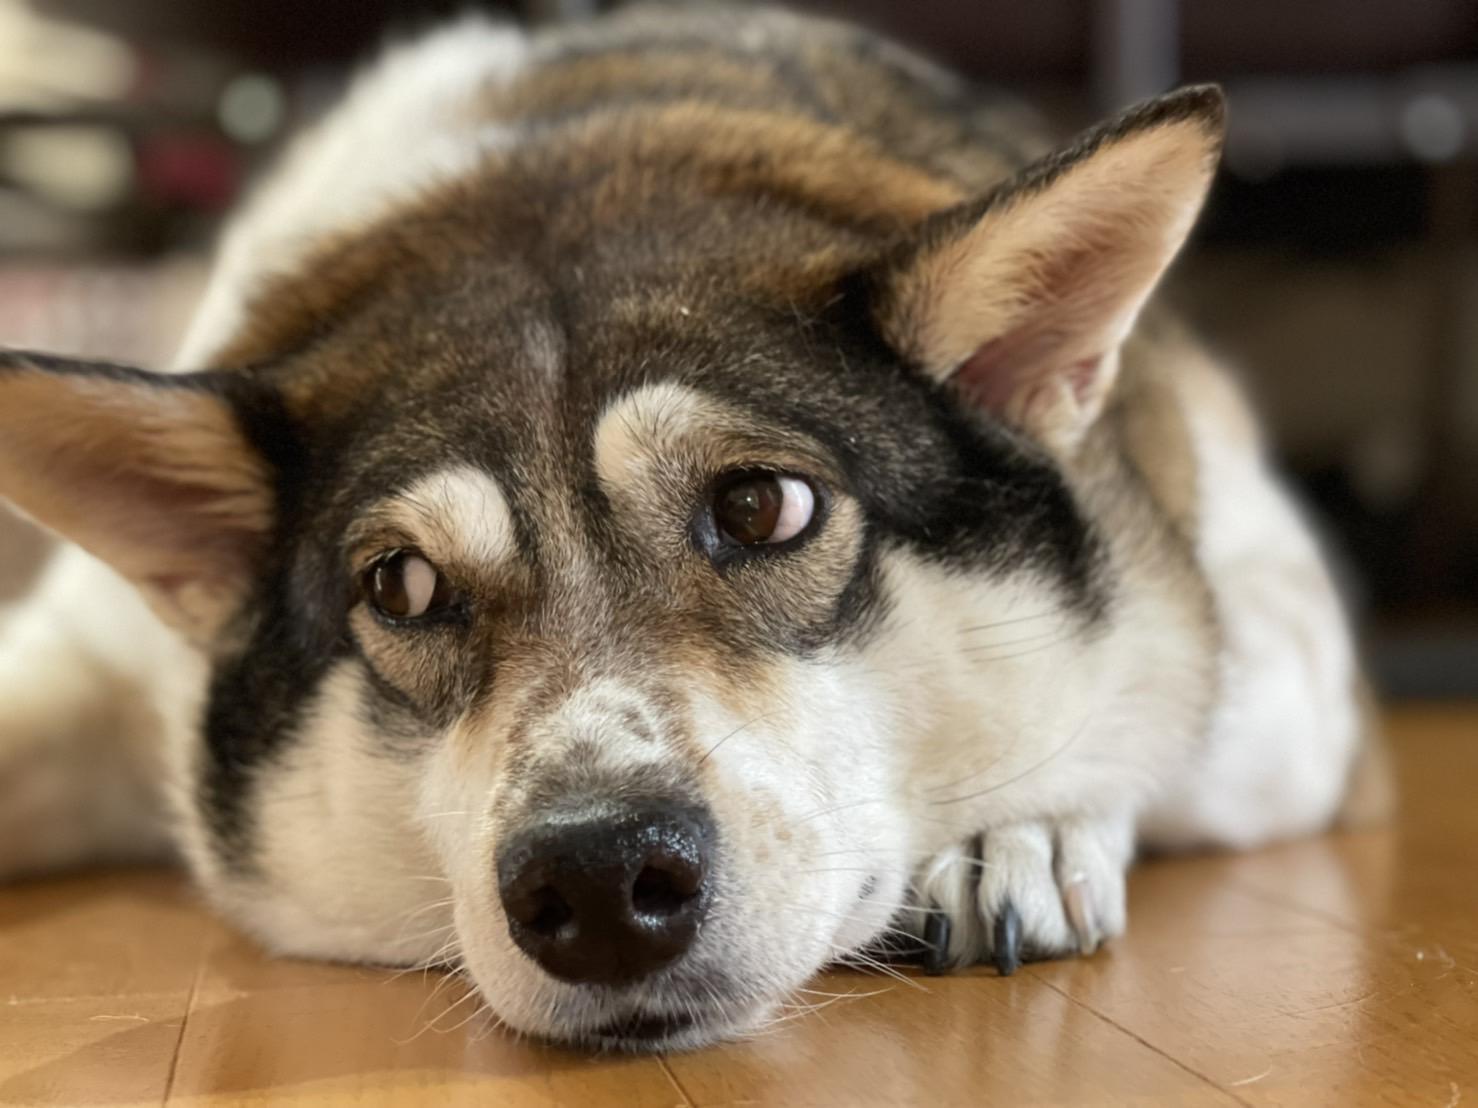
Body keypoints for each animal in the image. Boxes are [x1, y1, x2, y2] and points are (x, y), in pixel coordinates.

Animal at [0, 2, 1383, 1057]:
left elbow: (1147, 704)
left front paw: (1020, 823)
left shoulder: (1272, 662)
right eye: (401, 586)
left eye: (761, 507)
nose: (599, 880)